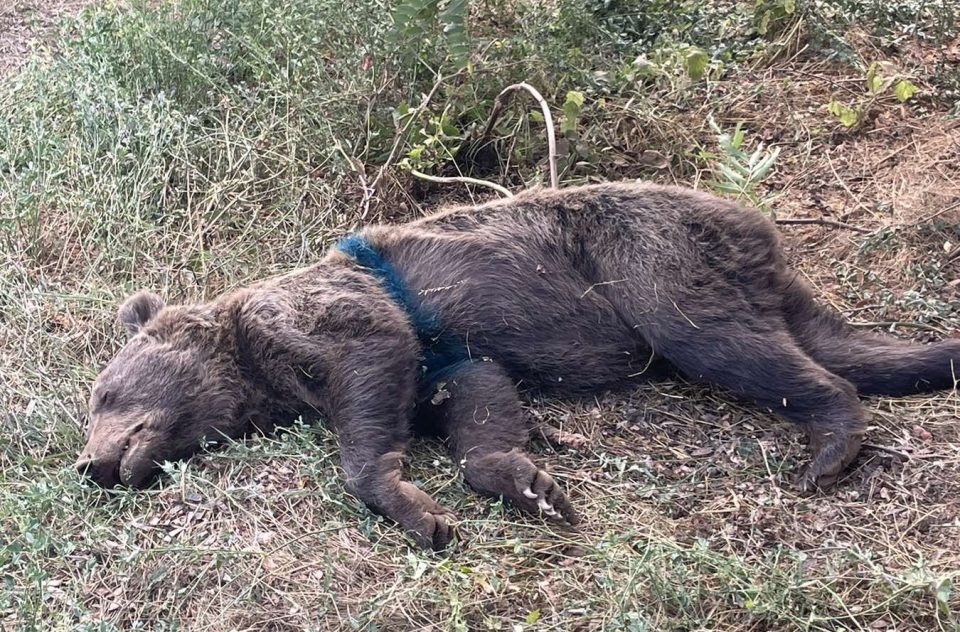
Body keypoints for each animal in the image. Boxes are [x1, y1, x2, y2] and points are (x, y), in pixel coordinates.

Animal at [77, 181, 960, 548]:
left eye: (104, 392)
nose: (91, 463)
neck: (252, 363)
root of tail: (756, 227)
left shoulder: (338, 324)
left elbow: (371, 372)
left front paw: (416, 509)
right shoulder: (448, 359)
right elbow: (476, 404)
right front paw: (528, 484)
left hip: (651, 259)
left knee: (728, 345)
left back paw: (829, 448)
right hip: (742, 280)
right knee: (837, 343)